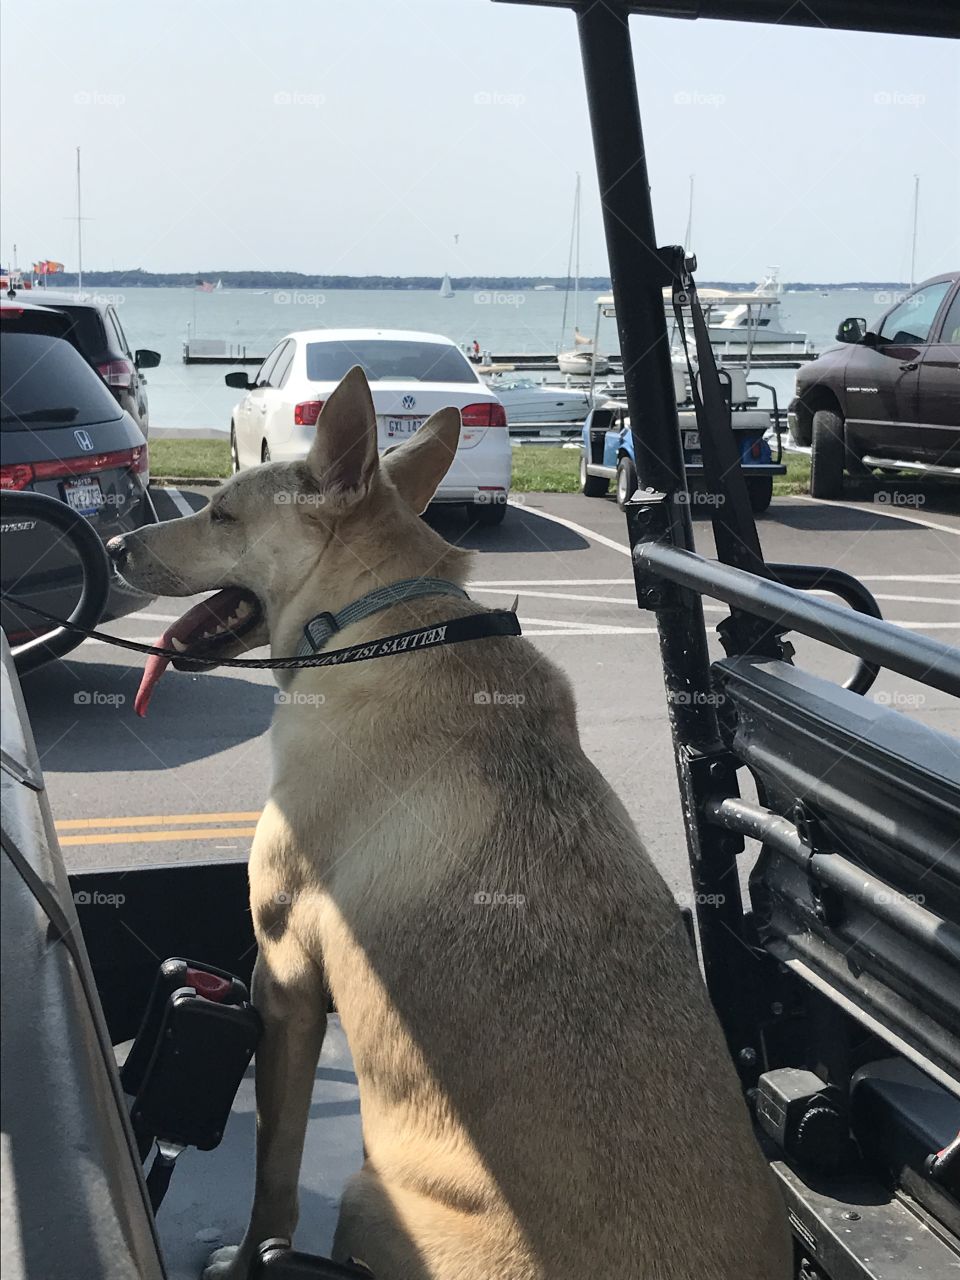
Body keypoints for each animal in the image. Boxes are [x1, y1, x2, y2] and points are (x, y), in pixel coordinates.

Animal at [110, 366, 788, 1274]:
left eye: (221, 513)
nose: (116, 547)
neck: (368, 624)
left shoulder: (284, 968)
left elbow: (274, 1169)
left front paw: (253, 1253)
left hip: (371, 1192)